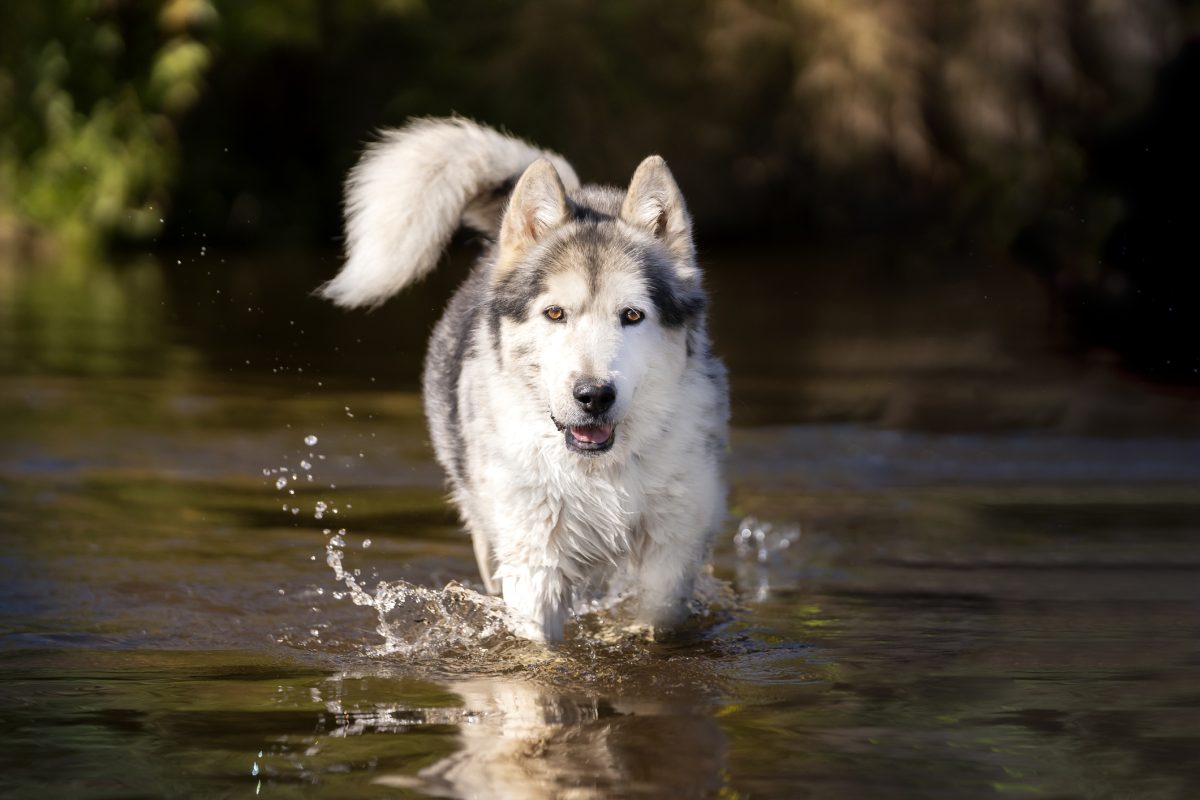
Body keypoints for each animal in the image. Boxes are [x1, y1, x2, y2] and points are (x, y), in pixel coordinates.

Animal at [319, 118, 724, 642]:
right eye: (555, 313)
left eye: (632, 316)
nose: (593, 395)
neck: (596, 474)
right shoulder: (534, 563)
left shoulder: (670, 556)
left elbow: (656, 616)